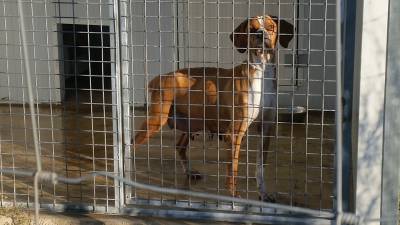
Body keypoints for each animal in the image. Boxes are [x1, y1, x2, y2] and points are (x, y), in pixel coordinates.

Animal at [133, 15, 292, 197]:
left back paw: (189, 172)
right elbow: (233, 169)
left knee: (180, 146)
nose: (260, 34)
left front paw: (263, 194)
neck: (261, 73)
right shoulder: (234, 134)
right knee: (130, 145)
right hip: (156, 121)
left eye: (270, 26)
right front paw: (234, 196)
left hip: (190, 123)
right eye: (251, 29)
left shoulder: (266, 130)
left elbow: (260, 168)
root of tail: (161, 76)